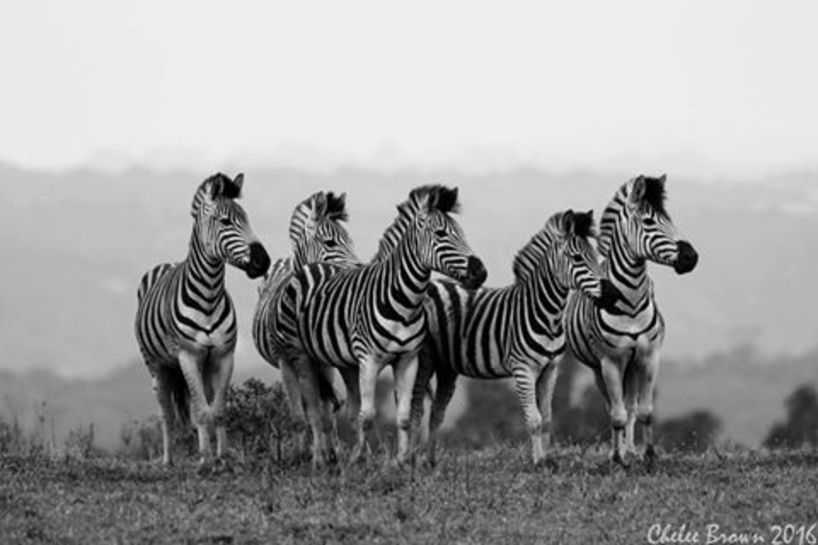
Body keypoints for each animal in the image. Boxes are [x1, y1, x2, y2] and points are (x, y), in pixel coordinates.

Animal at [135, 173, 270, 468]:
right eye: (226, 221)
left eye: (247, 218)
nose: (263, 262)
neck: (208, 295)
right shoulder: (188, 356)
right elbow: (199, 411)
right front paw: (206, 460)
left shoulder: (224, 355)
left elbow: (217, 410)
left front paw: (222, 458)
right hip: (157, 366)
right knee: (167, 413)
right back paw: (168, 460)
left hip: (204, 366)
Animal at [250, 191, 356, 430]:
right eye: (330, 242)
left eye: (351, 241)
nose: (360, 269)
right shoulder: (284, 360)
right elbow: (298, 417)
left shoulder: (326, 361)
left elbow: (325, 415)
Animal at [278, 186, 484, 464]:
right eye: (441, 234)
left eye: (461, 233)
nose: (481, 273)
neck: (405, 302)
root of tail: (314, 264)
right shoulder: (369, 360)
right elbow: (367, 416)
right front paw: (359, 459)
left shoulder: (408, 359)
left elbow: (404, 416)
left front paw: (402, 461)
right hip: (299, 353)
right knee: (312, 406)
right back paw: (319, 458)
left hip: (341, 362)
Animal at [408, 210, 620, 466]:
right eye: (578, 258)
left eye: (595, 256)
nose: (613, 294)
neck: (548, 315)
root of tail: (431, 284)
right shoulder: (523, 368)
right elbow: (534, 419)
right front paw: (538, 463)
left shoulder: (551, 368)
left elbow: (547, 418)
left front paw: (548, 460)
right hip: (425, 359)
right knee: (416, 407)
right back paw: (410, 459)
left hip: (447, 366)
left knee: (437, 413)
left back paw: (430, 462)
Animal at [564, 174, 700, 464]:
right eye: (649, 222)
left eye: (669, 218)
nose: (691, 257)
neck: (632, 302)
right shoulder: (610, 361)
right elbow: (616, 415)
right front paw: (617, 458)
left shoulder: (649, 356)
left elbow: (644, 410)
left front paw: (648, 454)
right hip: (600, 368)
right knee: (613, 407)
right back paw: (620, 451)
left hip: (633, 365)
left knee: (630, 406)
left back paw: (631, 450)